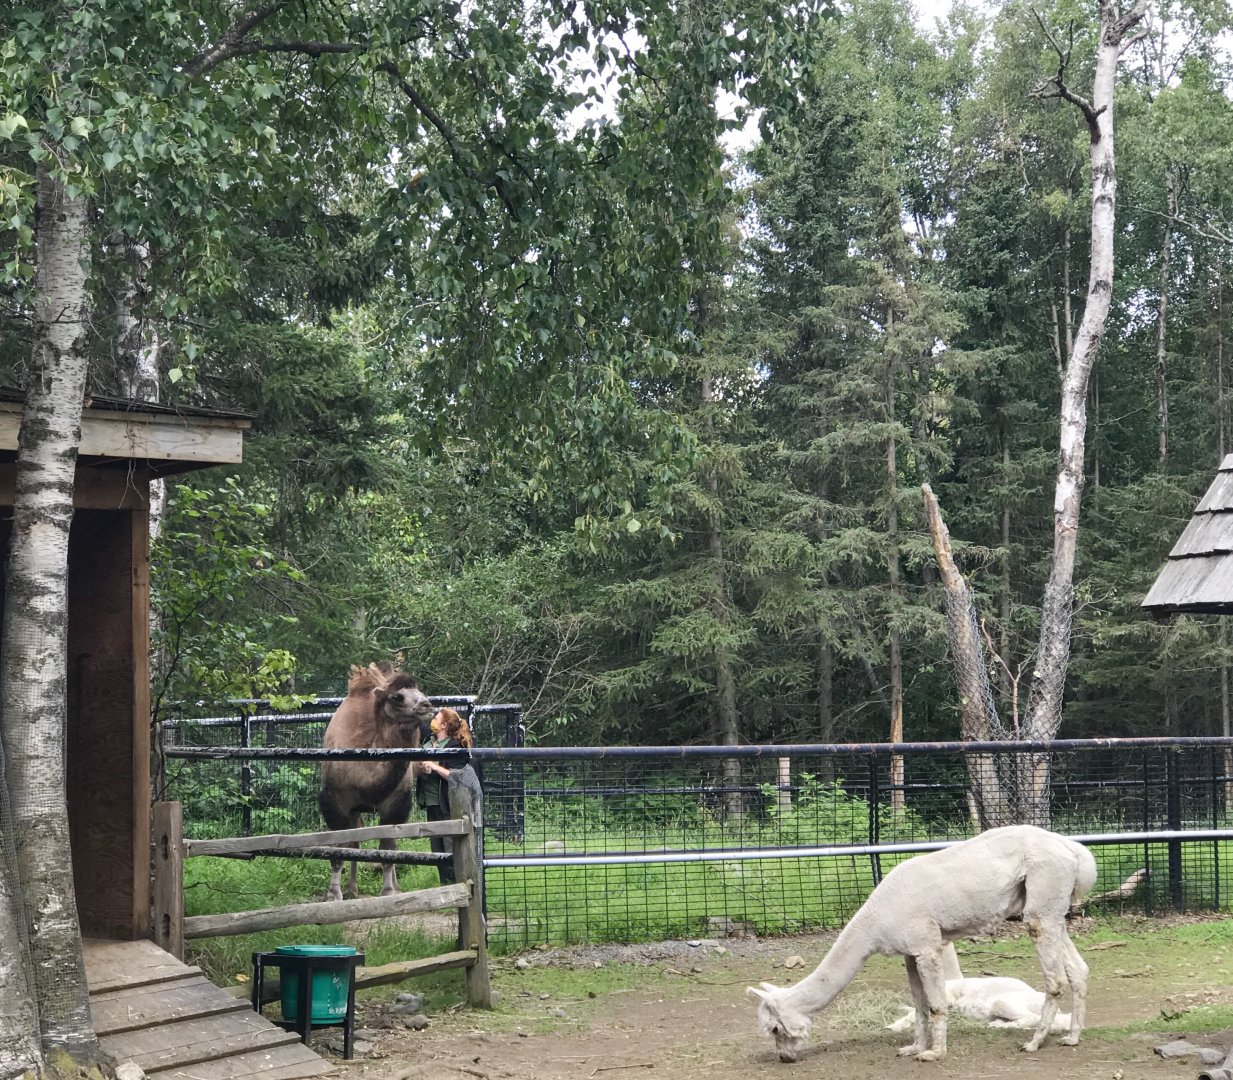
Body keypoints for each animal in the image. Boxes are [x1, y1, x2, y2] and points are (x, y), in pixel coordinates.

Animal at [318, 662, 436, 901]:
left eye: (420, 690)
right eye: (397, 696)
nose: (427, 705)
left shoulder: (396, 803)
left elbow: (388, 847)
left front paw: (388, 891)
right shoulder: (334, 802)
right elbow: (339, 848)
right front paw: (333, 894)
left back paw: (393, 886)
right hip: (353, 809)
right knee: (355, 841)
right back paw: (351, 889)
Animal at [748, 825, 1097, 1063]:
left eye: (775, 1029)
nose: (784, 1058)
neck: (875, 920)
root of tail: (1074, 850)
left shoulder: (927, 945)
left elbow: (936, 1002)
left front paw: (934, 1054)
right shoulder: (909, 952)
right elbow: (918, 1003)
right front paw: (912, 1047)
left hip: (1042, 898)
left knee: (1055, 978)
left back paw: (1034, 1043)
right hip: (1053, 910)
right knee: (1078, 969)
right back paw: (1072, 1038)